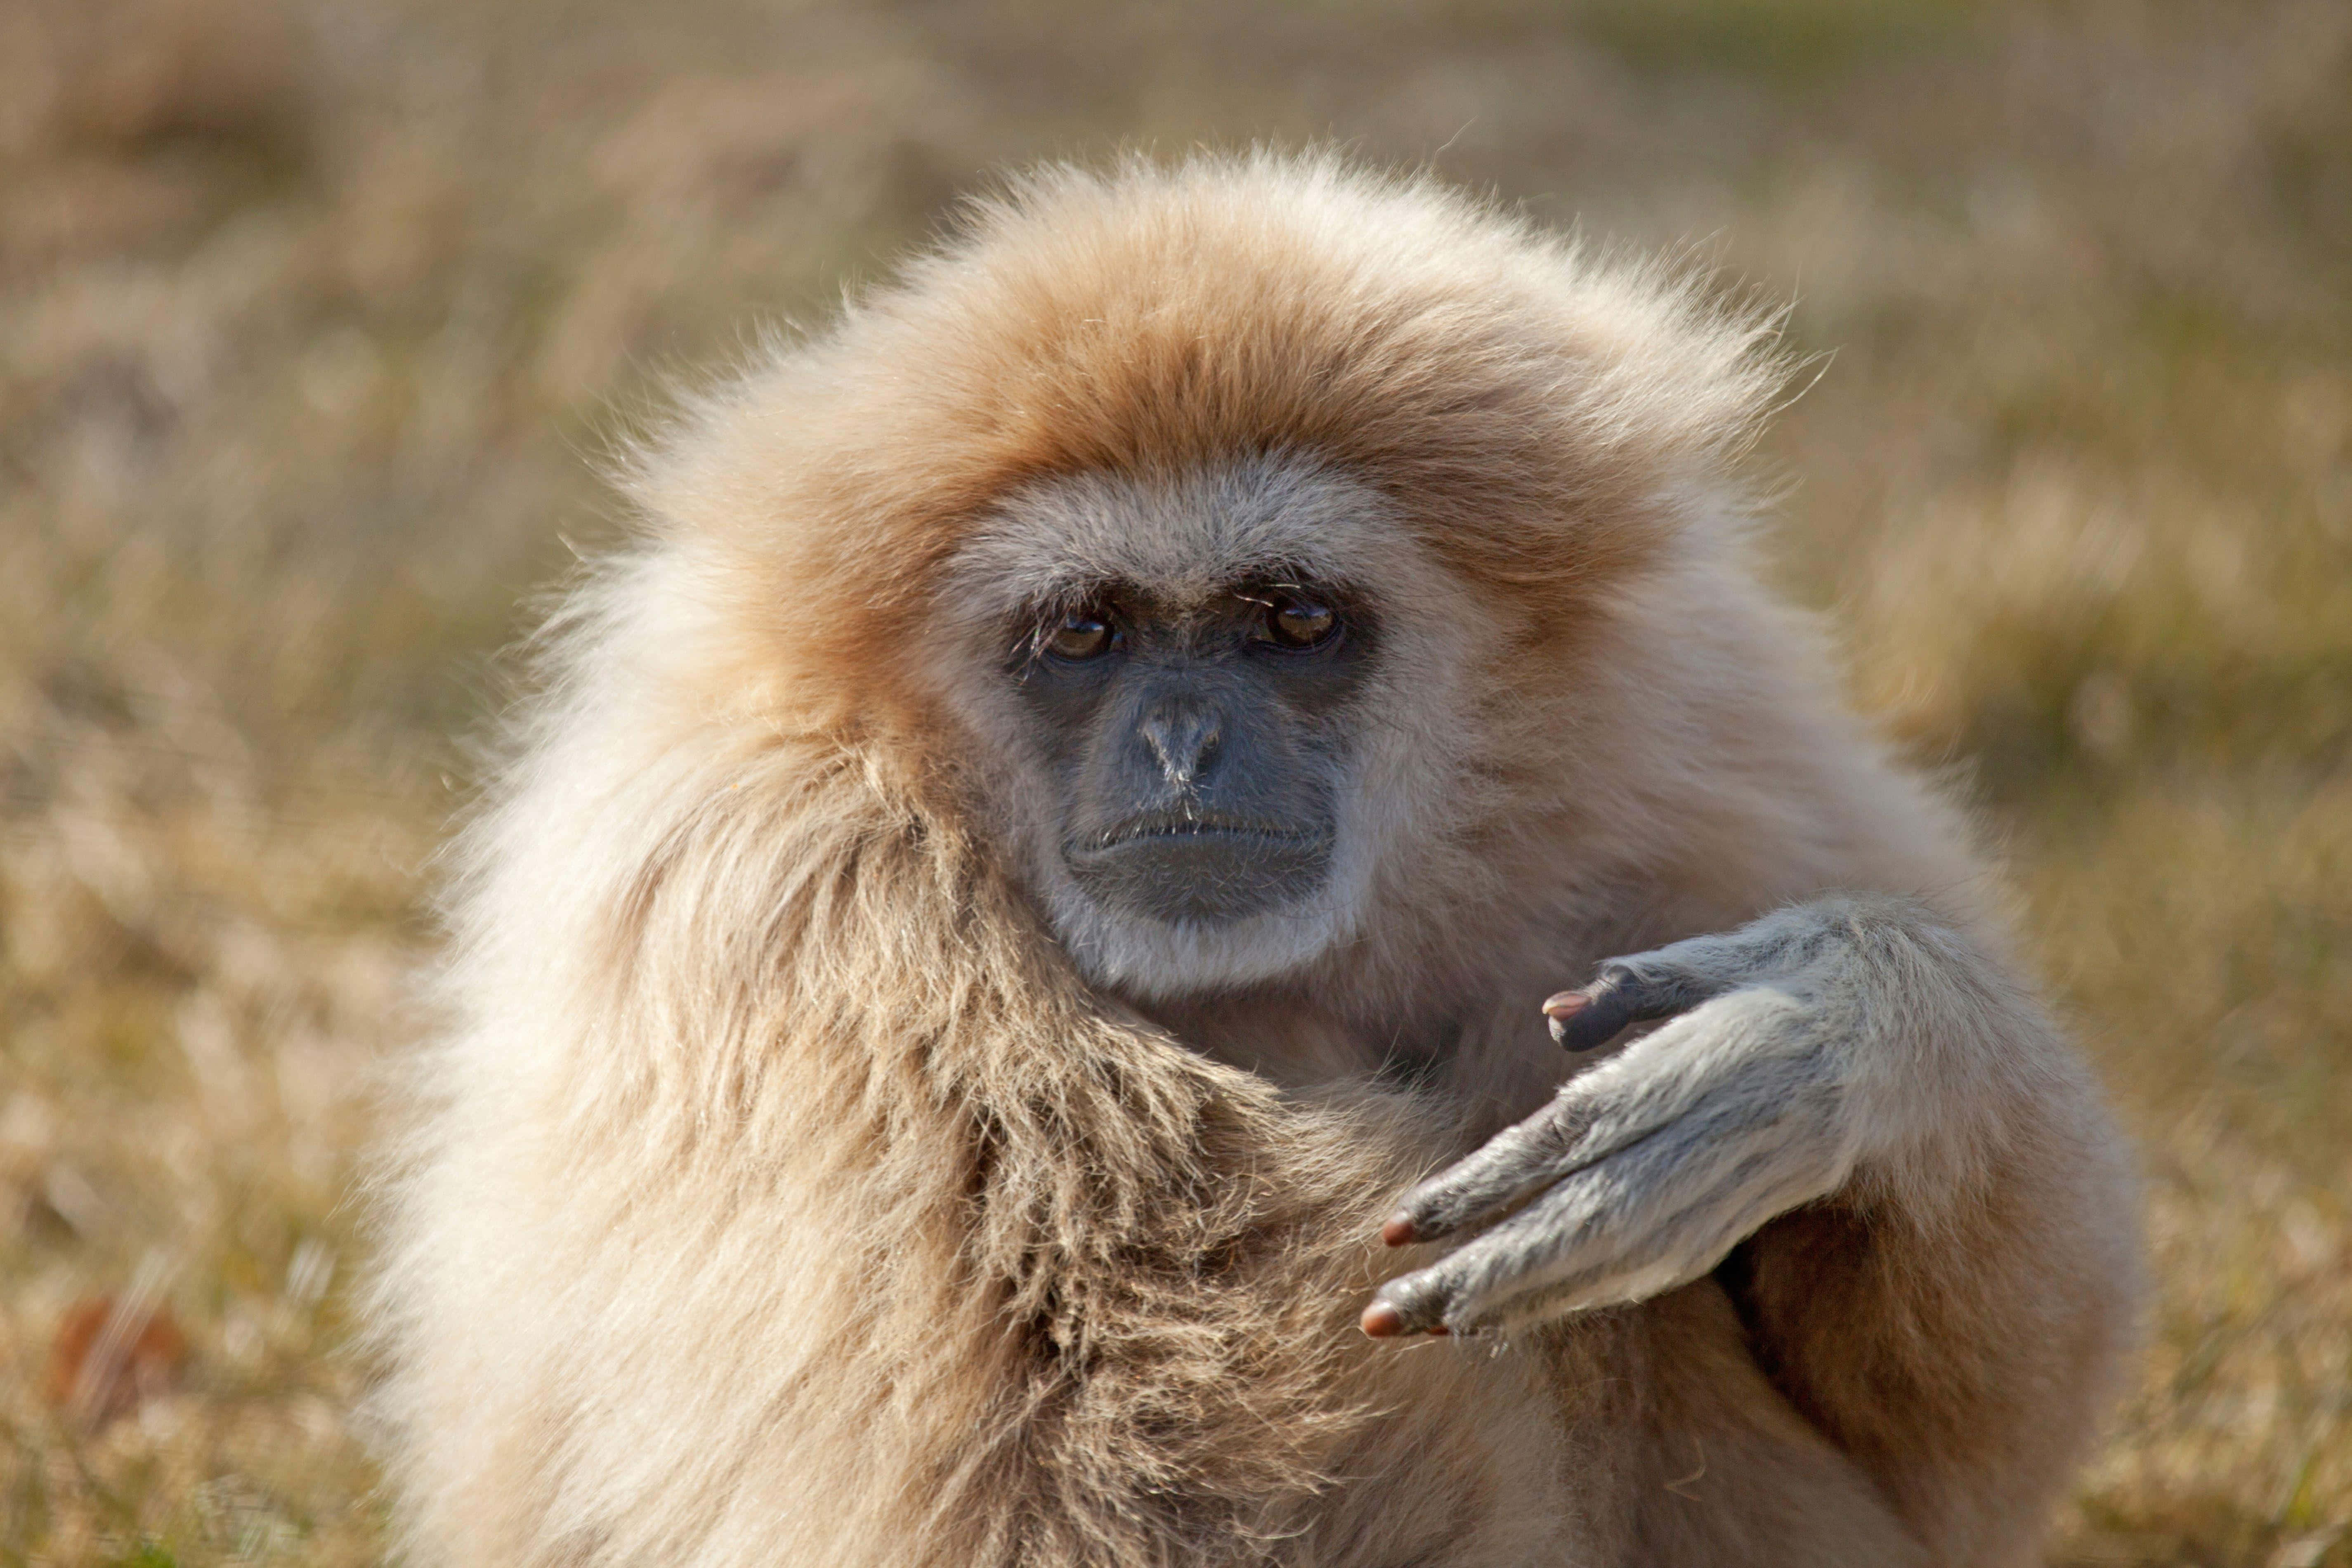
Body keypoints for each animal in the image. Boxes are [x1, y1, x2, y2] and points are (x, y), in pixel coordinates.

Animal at [363, 152, 2138, 1568]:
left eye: (1292, 621)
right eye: (1082, 635)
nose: (1180, 747)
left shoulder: (1710, 741)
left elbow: (1977, 1461)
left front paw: (1857, 1036)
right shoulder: (795, 899)